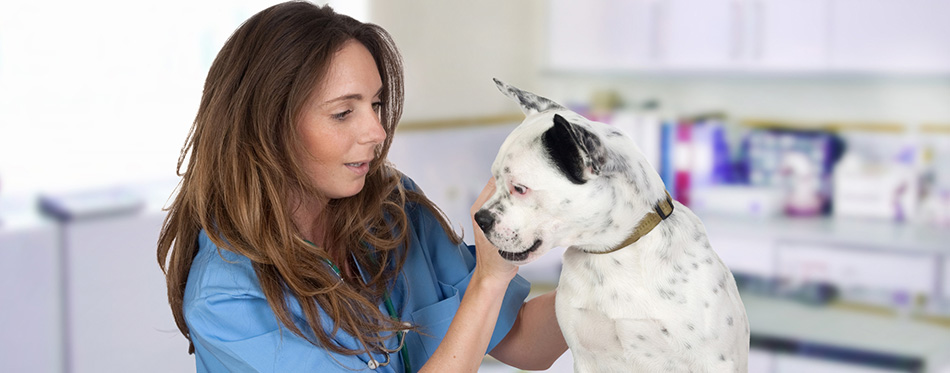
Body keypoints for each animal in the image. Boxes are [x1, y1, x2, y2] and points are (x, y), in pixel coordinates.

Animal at [476, 79, 752, 372]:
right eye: (495, 180)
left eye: (520, 188)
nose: (480, 219)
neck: (613, 253)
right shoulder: (584, 358)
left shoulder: (715, 362)